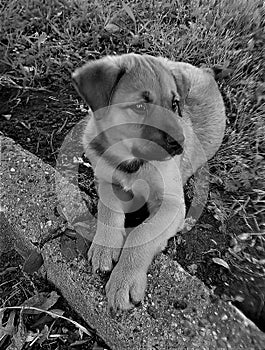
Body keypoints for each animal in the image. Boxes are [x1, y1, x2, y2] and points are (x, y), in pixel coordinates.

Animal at [72, 53, 225, 310]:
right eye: (140, 107)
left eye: (174, 104)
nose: (180, 143)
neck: (132, 161)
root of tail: (205, 72)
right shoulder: (106, 181)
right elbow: (108, 209)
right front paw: (105, 245)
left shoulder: (172, 205)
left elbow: (142, 233)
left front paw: (124, 279)